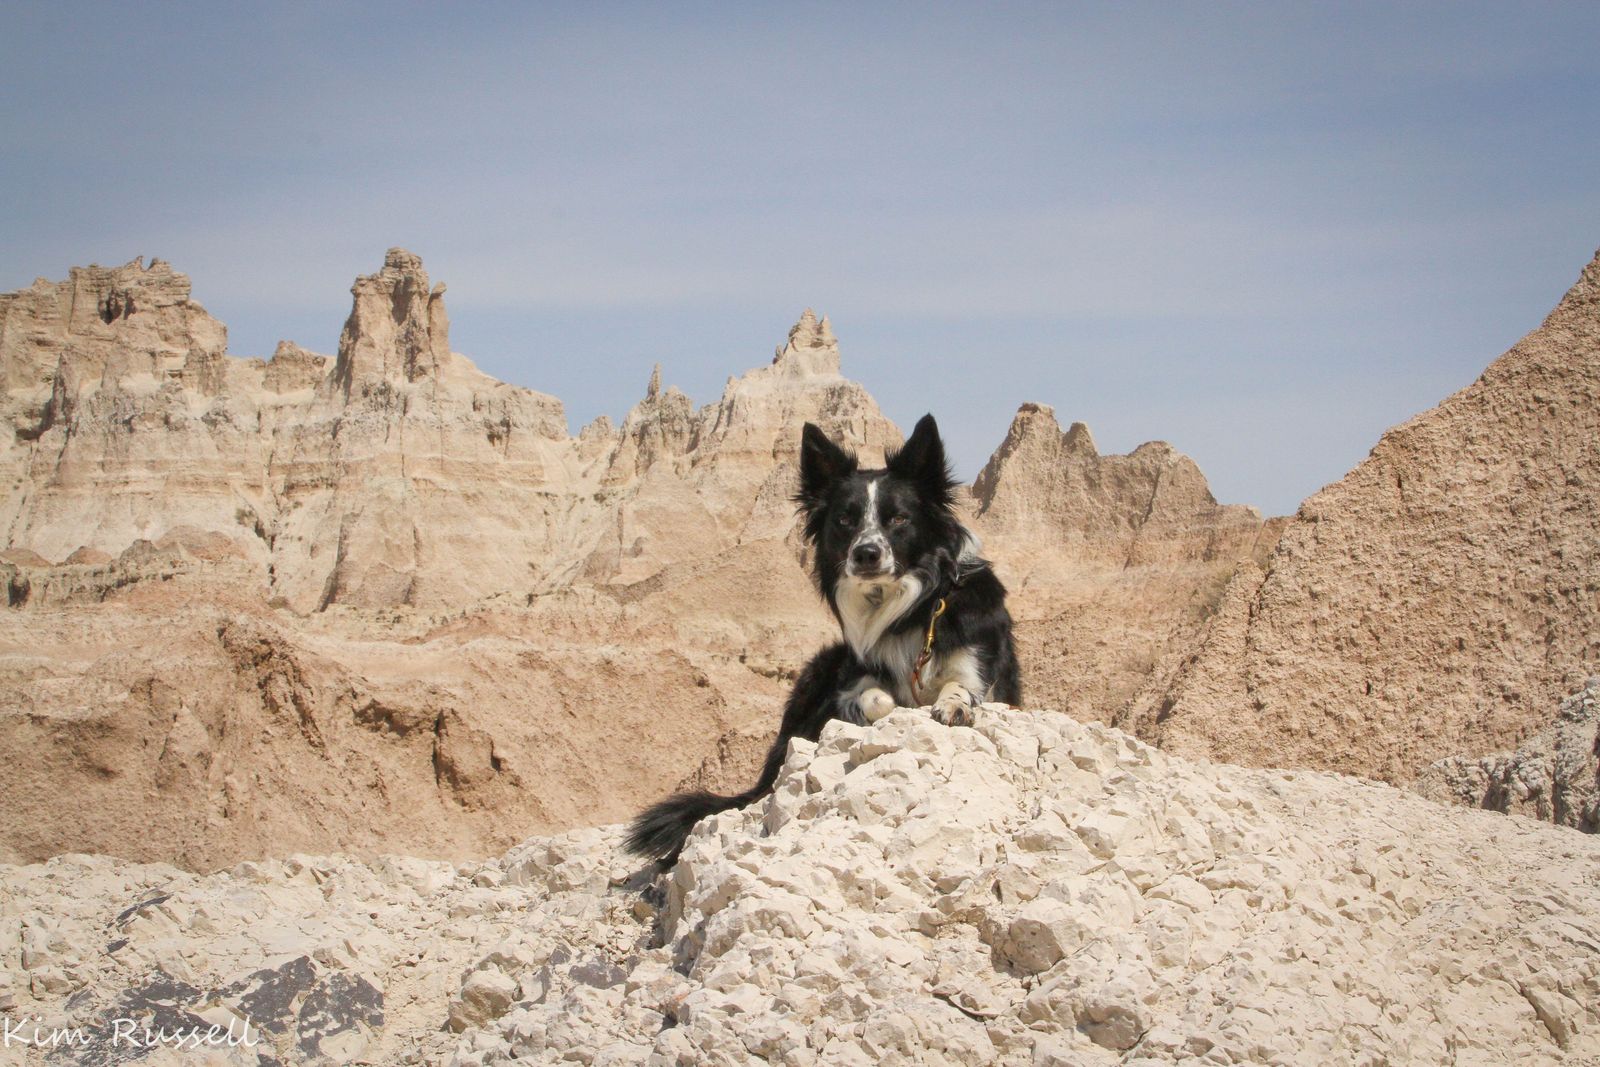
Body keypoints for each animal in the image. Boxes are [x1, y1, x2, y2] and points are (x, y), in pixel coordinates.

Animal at [624, 414, 1021, 864]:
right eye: (845, 520)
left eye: (898, 519)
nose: (866, 553)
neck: (914, 609)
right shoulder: (849, 681)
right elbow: (878, 699)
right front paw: (876, 710)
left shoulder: (980, 667)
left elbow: (961, 686)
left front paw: (953, 705)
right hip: (816, 672)